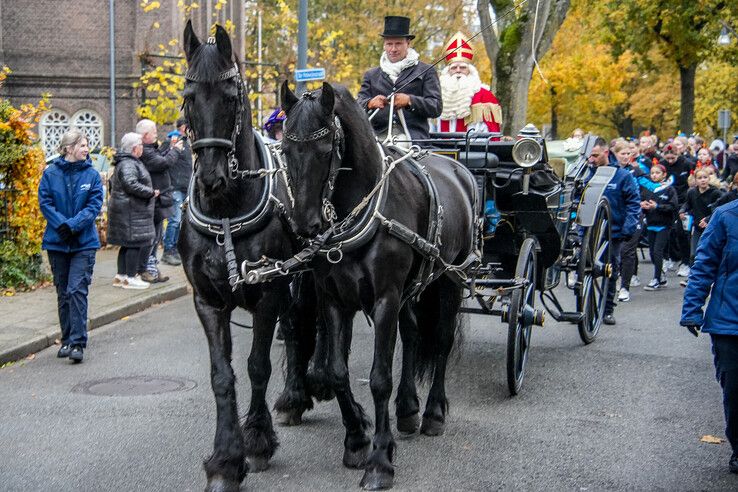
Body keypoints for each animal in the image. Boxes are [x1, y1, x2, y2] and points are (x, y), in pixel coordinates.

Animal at [181, 21, 314, 490]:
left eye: (231, 96)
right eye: (188, 95)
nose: (211, 179)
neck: (226, 212)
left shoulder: (269, 293)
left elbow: (258, 366)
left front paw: (255, 442)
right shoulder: (208, 301)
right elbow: (222, 376)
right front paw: (224, 460)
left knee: (298, 328)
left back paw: (295, 396)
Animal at [278, 80, 478, 488]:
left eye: (326, 149)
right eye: (286, 150)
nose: (304, 225)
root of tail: (456, 166)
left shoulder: (385, 298)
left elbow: (379, 379)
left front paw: (380, 461)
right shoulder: (334, 300)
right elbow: (338, 372)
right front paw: (356, 441)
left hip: (449, 279)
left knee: (441, 342)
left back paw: (433, 413)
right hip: (413, 290)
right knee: (415, 334)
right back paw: (408, 409)